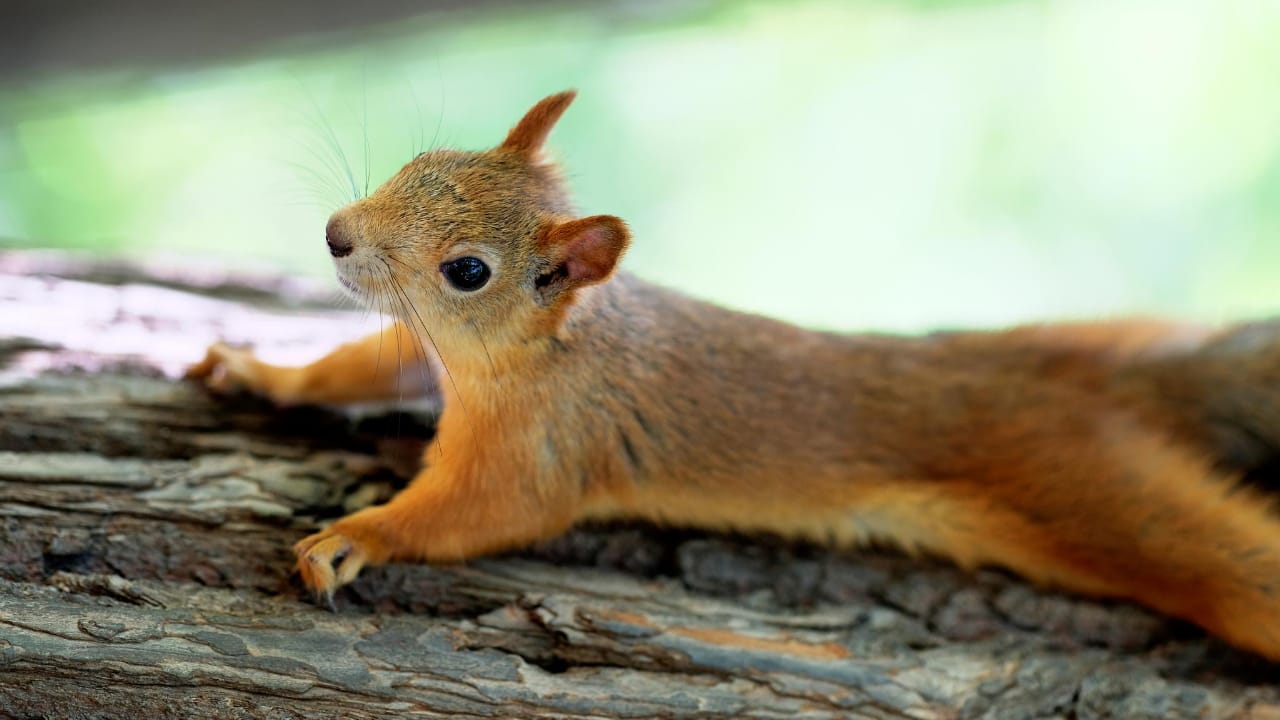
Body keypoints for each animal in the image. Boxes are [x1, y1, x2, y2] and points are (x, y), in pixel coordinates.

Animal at [188, 90, 1280, 660]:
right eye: (426, 158)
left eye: (468, 271)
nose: (337, 236)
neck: (543, 348)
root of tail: (1103, 393)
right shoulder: (425, 355)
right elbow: (352, 365)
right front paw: (258, 370)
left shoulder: (542, 445)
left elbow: (477, 511)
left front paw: (359, 536)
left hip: (1095, 494)